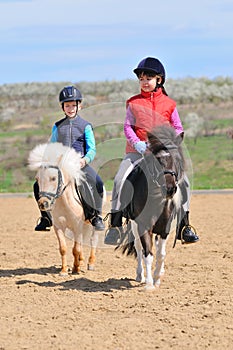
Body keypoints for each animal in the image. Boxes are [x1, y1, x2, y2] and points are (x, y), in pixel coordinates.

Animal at [27, 144, 100, 274]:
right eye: (37, 179)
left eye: (53, 178)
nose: (43, 203)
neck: (64, 203)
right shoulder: (59, 227)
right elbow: (63, 248)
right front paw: (64, 270)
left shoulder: (77, 226)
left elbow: (75, 249)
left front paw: (75, 269)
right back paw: (81, 261)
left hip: (93, 223)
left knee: (93, 240)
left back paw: (90, 263)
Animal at [117, 125, 185, 290]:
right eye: (158, 160)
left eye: (177, 159)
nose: (169, 189)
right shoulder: (143, 225)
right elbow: (147, 253)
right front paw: (149, 283)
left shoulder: (165, 228)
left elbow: (161, 254)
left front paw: (157, 278)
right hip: (134, 225)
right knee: (138, 248)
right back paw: (139, 275)